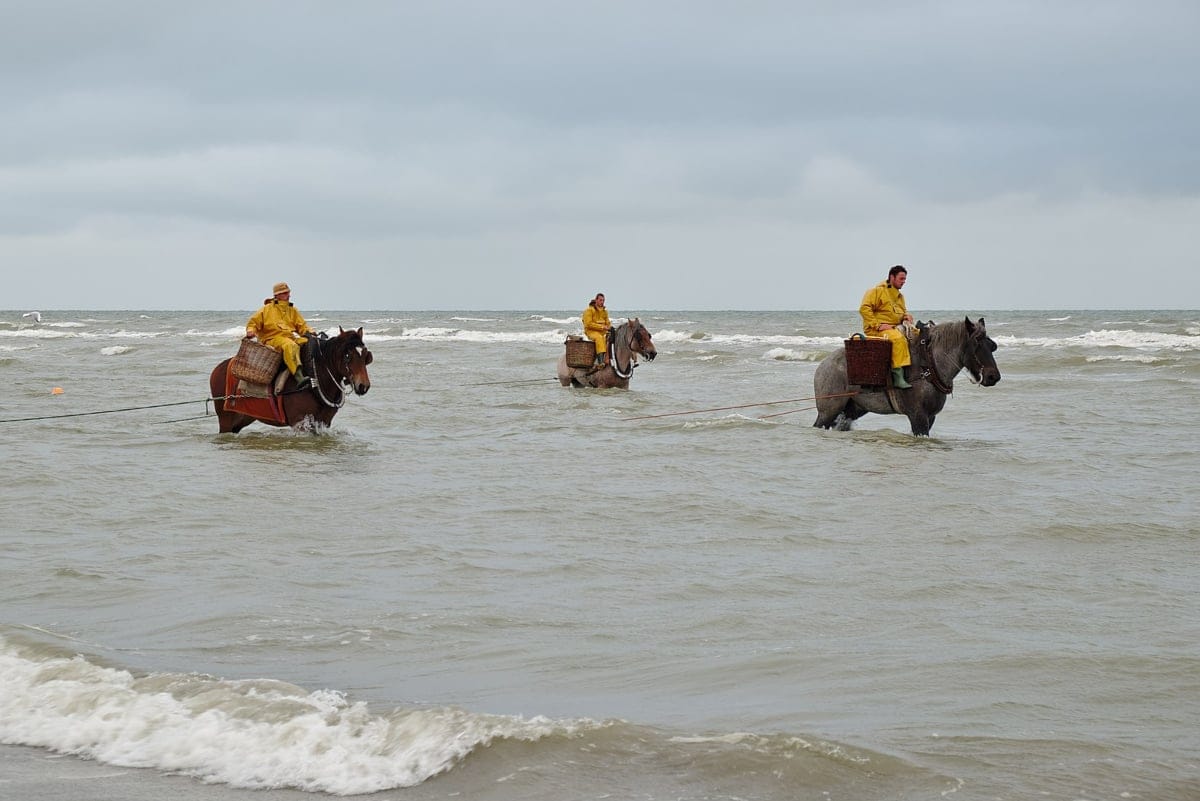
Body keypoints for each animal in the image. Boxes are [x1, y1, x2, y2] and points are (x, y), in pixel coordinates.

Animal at [208, 326, 372, 431]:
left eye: (365, 355)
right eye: (347, 355)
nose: (363, 385)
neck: (314, 378)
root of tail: (217, 369)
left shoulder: (323, 422)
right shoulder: (300, 422)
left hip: (242, 418)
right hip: (225, 420)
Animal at [811, 316, 998, 434]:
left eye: (991, 345)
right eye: (976, 343)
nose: (993, 376)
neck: (929, 367)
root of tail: (823, 365)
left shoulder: (930, 417)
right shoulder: (917, 416)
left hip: (850, 410)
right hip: (828, 411)